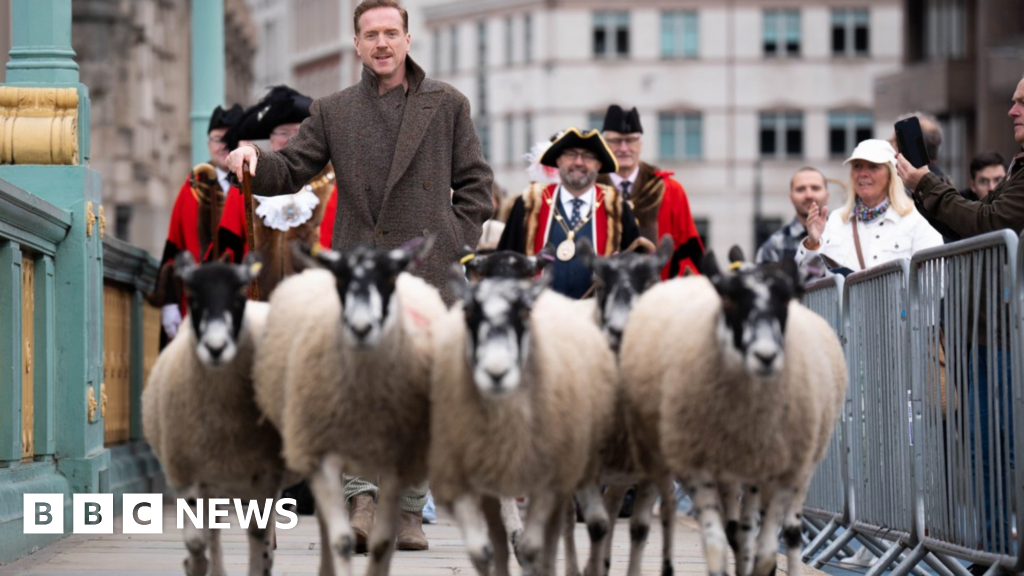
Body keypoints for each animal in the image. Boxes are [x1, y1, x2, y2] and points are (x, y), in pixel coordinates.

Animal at [142, 251, 282, 573]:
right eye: (192, 295)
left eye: (239, 295)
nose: (215, 348)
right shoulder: (188, 473)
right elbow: (197, 538)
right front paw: (195, 563)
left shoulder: (262, 476)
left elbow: (257, 532)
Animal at [614, 253, 847, 573]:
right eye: (729, 301)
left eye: (785, 300)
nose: (765, 356)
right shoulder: (701, 466)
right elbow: (721, 539)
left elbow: (762, 544)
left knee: (787, 530)